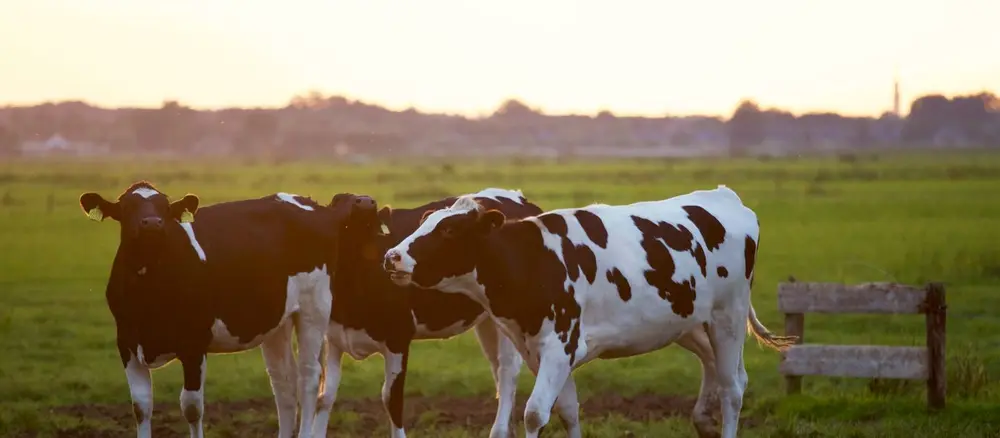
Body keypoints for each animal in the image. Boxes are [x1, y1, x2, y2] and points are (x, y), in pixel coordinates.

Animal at [79, 181, 364, 438]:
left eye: (165, 208)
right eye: (127, 207)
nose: (152, 223)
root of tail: (315, 206)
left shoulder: (194, 343)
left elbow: (191, 407)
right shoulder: (126, 341)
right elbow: (141, 406)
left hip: (314, 308)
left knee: (309, 378)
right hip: (277, 321)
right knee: (284, 382)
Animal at [312, 189, 541, 438]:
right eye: (337, 200)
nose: (365, 202)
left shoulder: (398, 339)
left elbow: (392, 399)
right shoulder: (334, 338)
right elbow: (325, 396)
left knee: (508, 372)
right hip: (488, 321)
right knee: (497, 369)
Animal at [382, 185, 797, 438]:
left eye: (449, 231)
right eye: (425, 222)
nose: (391, 256)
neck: (534, 260)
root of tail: (725, 197)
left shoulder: (559, 346)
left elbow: (535, 413)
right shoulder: (541, 351)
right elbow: (568, 410)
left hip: (728, 316)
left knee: (733, 388)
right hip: (689, 322)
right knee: (715, 366)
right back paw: (703, 420)